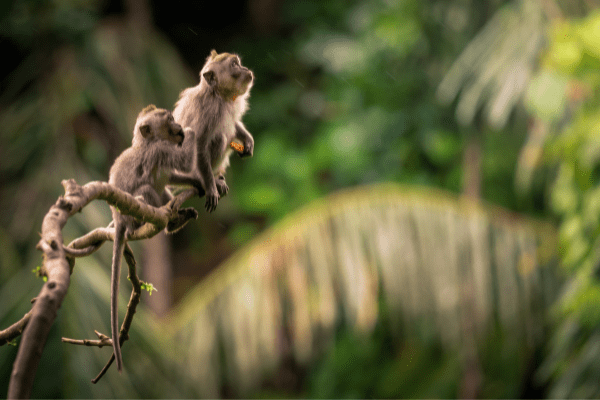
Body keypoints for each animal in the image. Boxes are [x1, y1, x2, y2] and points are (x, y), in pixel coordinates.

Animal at [108, 104, 186, 374]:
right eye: (169, 120)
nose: (179, 127)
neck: (147, 143)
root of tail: (119, 219)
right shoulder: (159, 150)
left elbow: (171, 176)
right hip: (131, 217)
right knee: (146, 190)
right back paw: (164, 218)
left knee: (159, 189)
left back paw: (176, 219)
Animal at [170, 49, 254, 212]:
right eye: (234, 65)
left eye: (238, 63)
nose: (245, 69)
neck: (218, 95)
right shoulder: (209, 112)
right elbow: (199, 144)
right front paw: (210, 187)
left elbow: (233, 123)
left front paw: (248, 140)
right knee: (220, 138)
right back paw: (211, 180)